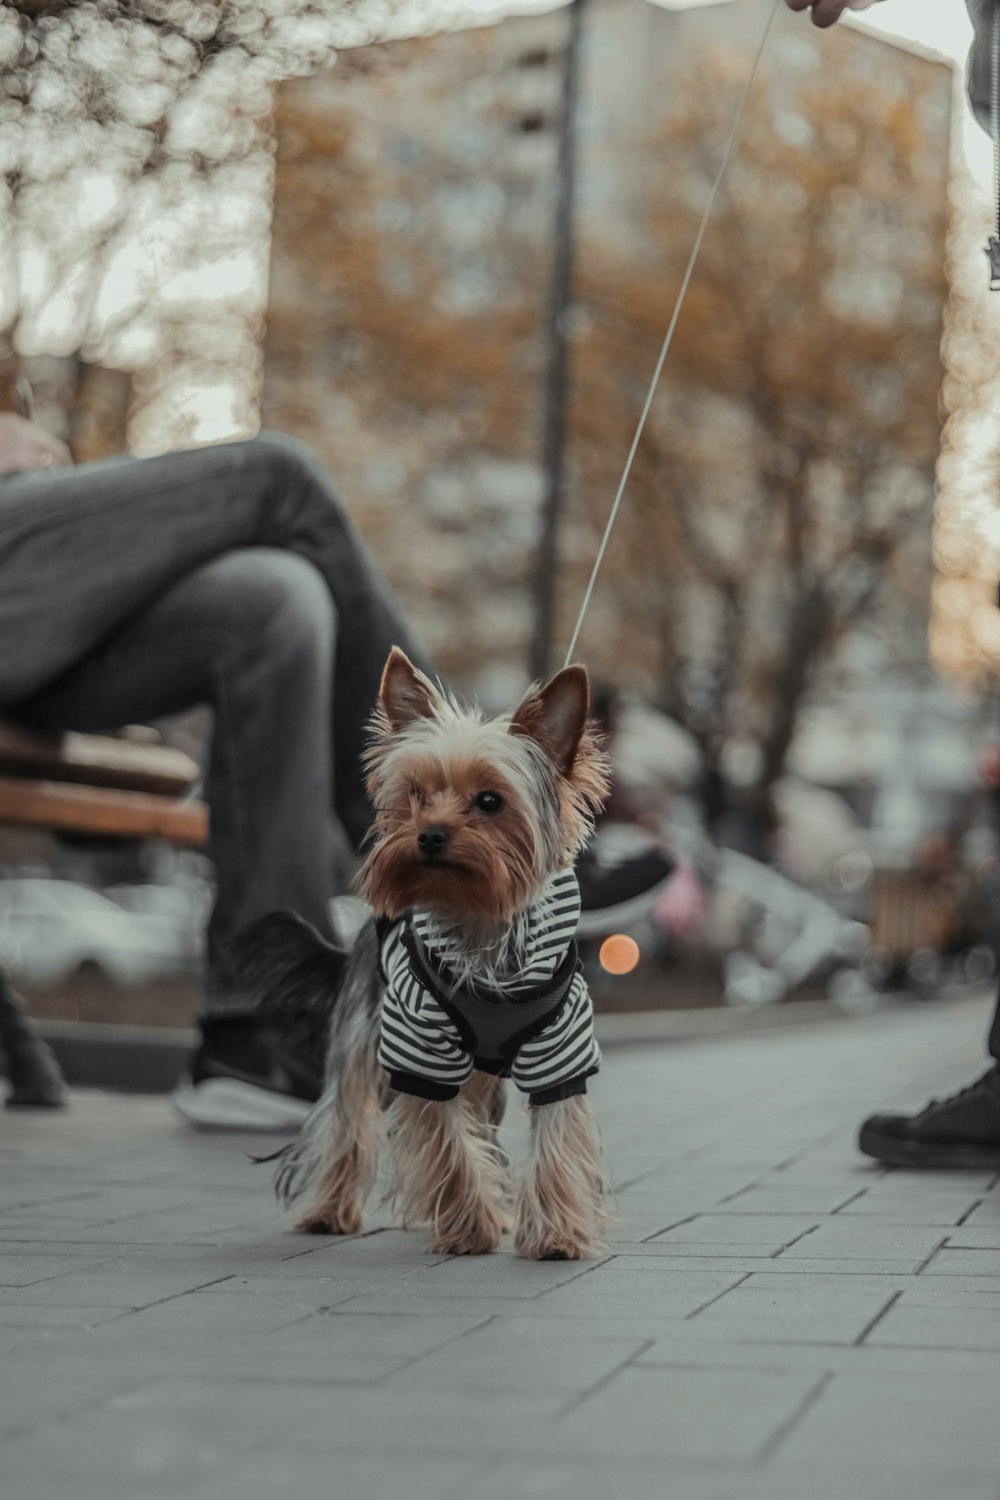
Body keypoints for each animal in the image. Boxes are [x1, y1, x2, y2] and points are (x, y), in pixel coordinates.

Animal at [245, 651, 614, 1260]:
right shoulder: (419, 1049)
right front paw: (470, 1226)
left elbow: (555, 1137)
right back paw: (328, 1211)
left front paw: (556, 1234)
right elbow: (444, 1140)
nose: (430, 835)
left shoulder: (560, 1049)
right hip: (362, 1033)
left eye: (490, 801)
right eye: (416, 794)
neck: (480, 925)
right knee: (346, 1123)